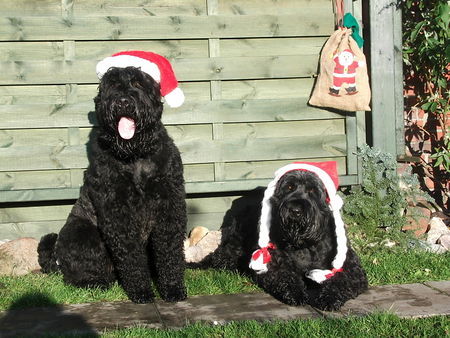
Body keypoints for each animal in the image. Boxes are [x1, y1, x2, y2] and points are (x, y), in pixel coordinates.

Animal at [36, 52, 188, 304]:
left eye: (138, 83)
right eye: (112, 84)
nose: (123, 102)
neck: (135, 155)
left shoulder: (170, 205)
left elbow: (169, 251)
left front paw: (173, 289)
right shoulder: (117, 212)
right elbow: (131, 257)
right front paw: (141, 292)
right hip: (84, 234)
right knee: (80, 273)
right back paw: (93, 282)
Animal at [190, 162, 370, 310]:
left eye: (312, 190)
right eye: (289, 187)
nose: (295, 210)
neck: (303, 243)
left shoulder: (351, 269)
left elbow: (339, 281)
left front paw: (328, 298)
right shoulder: (275, 265)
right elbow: (286, 276)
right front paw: (297, 294)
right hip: (234, 247)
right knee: (219, 258)